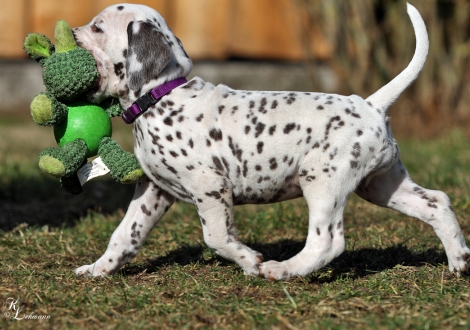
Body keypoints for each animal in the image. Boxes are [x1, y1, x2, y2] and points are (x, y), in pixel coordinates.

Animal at [72, 3, 470, 280]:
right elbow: (125, 234)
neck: (162, 97)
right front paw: (99, 268)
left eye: (97, 27)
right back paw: (459, 262)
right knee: (437, 202)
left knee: (328, 240)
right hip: (382, 184)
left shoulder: (210, 187)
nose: (71, 32)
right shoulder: (155, 189)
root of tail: (370, 104)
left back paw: (284, 270)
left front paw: (250, 261)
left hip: (323, 181)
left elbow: (217, 236)